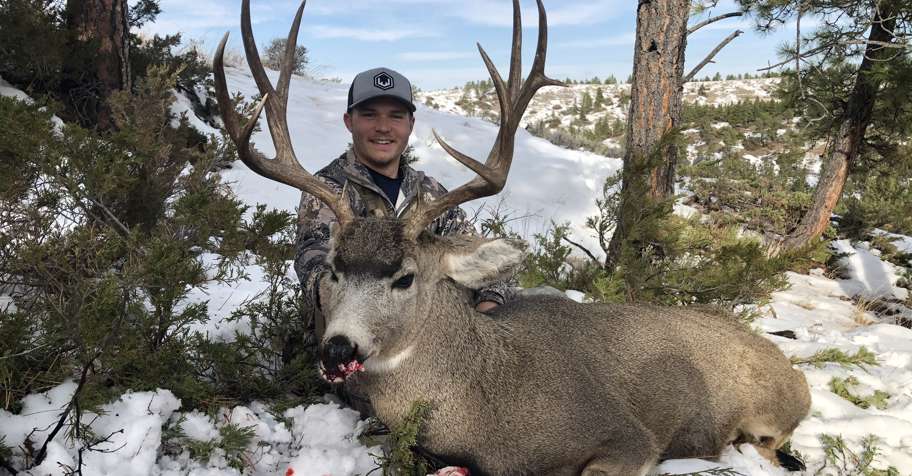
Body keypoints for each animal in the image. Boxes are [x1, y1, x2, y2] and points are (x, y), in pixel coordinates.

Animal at [213, 1, 812, 474]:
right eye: (334, 268)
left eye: (405, 277)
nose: (339, 348)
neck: (486, 405)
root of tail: (789, 366)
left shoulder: (629, 437)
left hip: (773, 409)